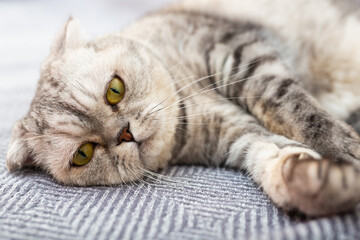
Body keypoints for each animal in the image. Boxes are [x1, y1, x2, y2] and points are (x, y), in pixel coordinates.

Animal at [4, 0, 360, 218]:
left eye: (114, 91)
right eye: (83, 154)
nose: (124, 134)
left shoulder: (238, 53)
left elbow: (293, 109)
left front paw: (347, 148)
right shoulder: (239, 135)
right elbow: (276, 156)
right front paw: (315, 181)